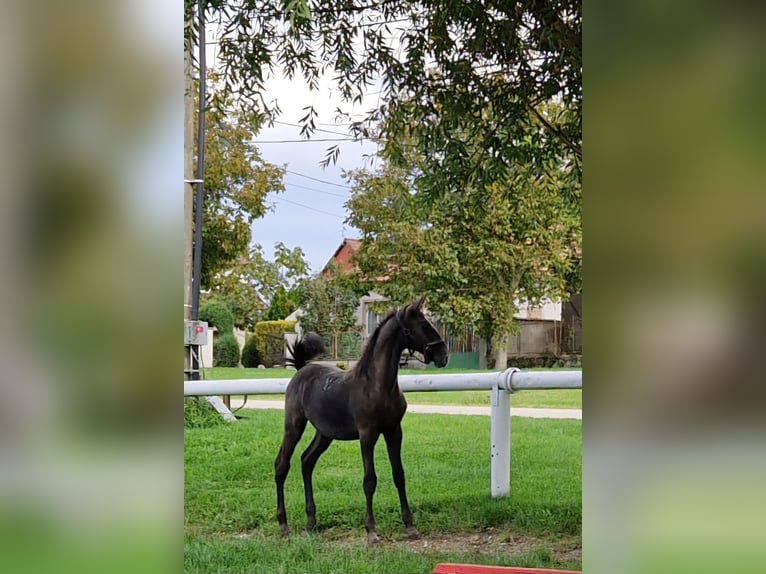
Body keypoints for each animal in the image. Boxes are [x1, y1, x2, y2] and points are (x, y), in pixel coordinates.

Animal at [276, 296, 450, 544]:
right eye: (424, 325)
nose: (443, 355)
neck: (377, 385)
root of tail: (301, 371)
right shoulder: (367, 435)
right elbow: (369, 480)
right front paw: (371, 531)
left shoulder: (394, 431)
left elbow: (399, 475)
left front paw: (410, 526)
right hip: (294, 426)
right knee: (282, 465)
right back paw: (283, 524)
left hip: (324, 434)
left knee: (307, 461)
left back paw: (311, 521)